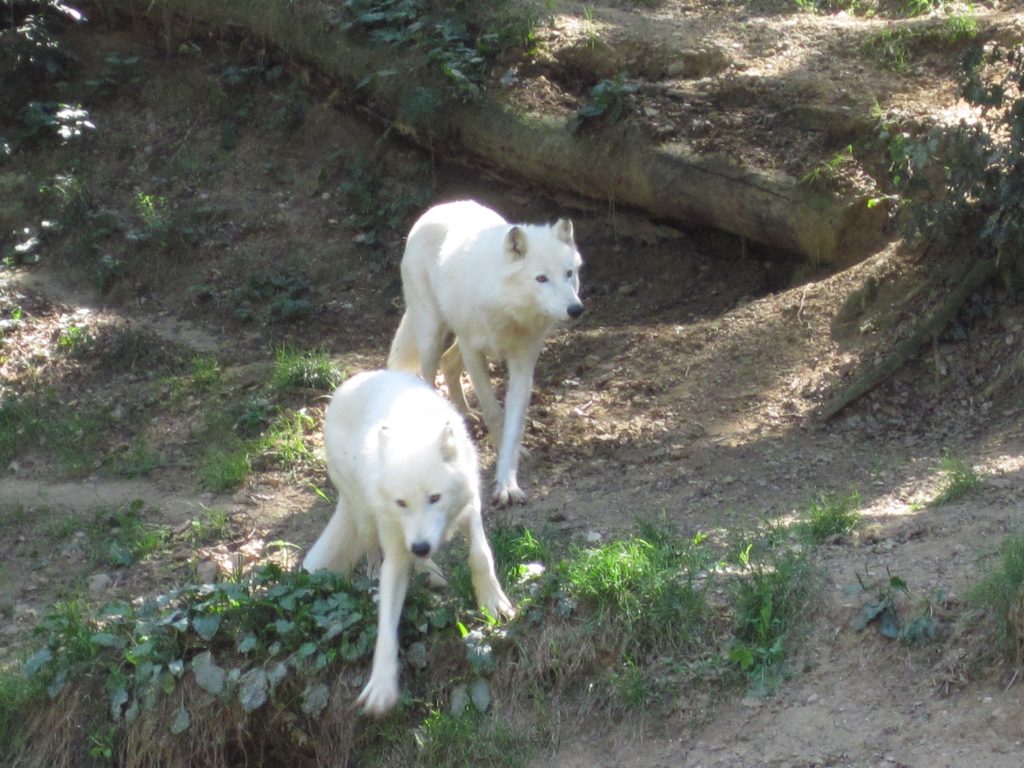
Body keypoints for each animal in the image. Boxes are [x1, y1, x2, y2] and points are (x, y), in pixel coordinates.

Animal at [301, 370, 512, 720]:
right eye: (401, 503)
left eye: (435, 498)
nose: (422, 546)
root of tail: (349, 383)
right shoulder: (397, 547)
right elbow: (387, 624)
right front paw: (381, 685)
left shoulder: (470, 507)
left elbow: (480, 555)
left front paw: (492, 601)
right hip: (364, 515)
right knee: (372, 553)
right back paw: (382, 577)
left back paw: (432, 573)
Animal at [385, 201, 585, 507]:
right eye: (541, 278)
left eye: (568, 273)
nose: (575, 310)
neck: (508, 308)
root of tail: (439, 208)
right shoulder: (473, 351)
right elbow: (494, 412)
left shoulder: (523, 362)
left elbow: (514, 423)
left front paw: (508, 481)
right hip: (432, 336)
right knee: (428, 376)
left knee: (449, 364)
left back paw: (466, 415)